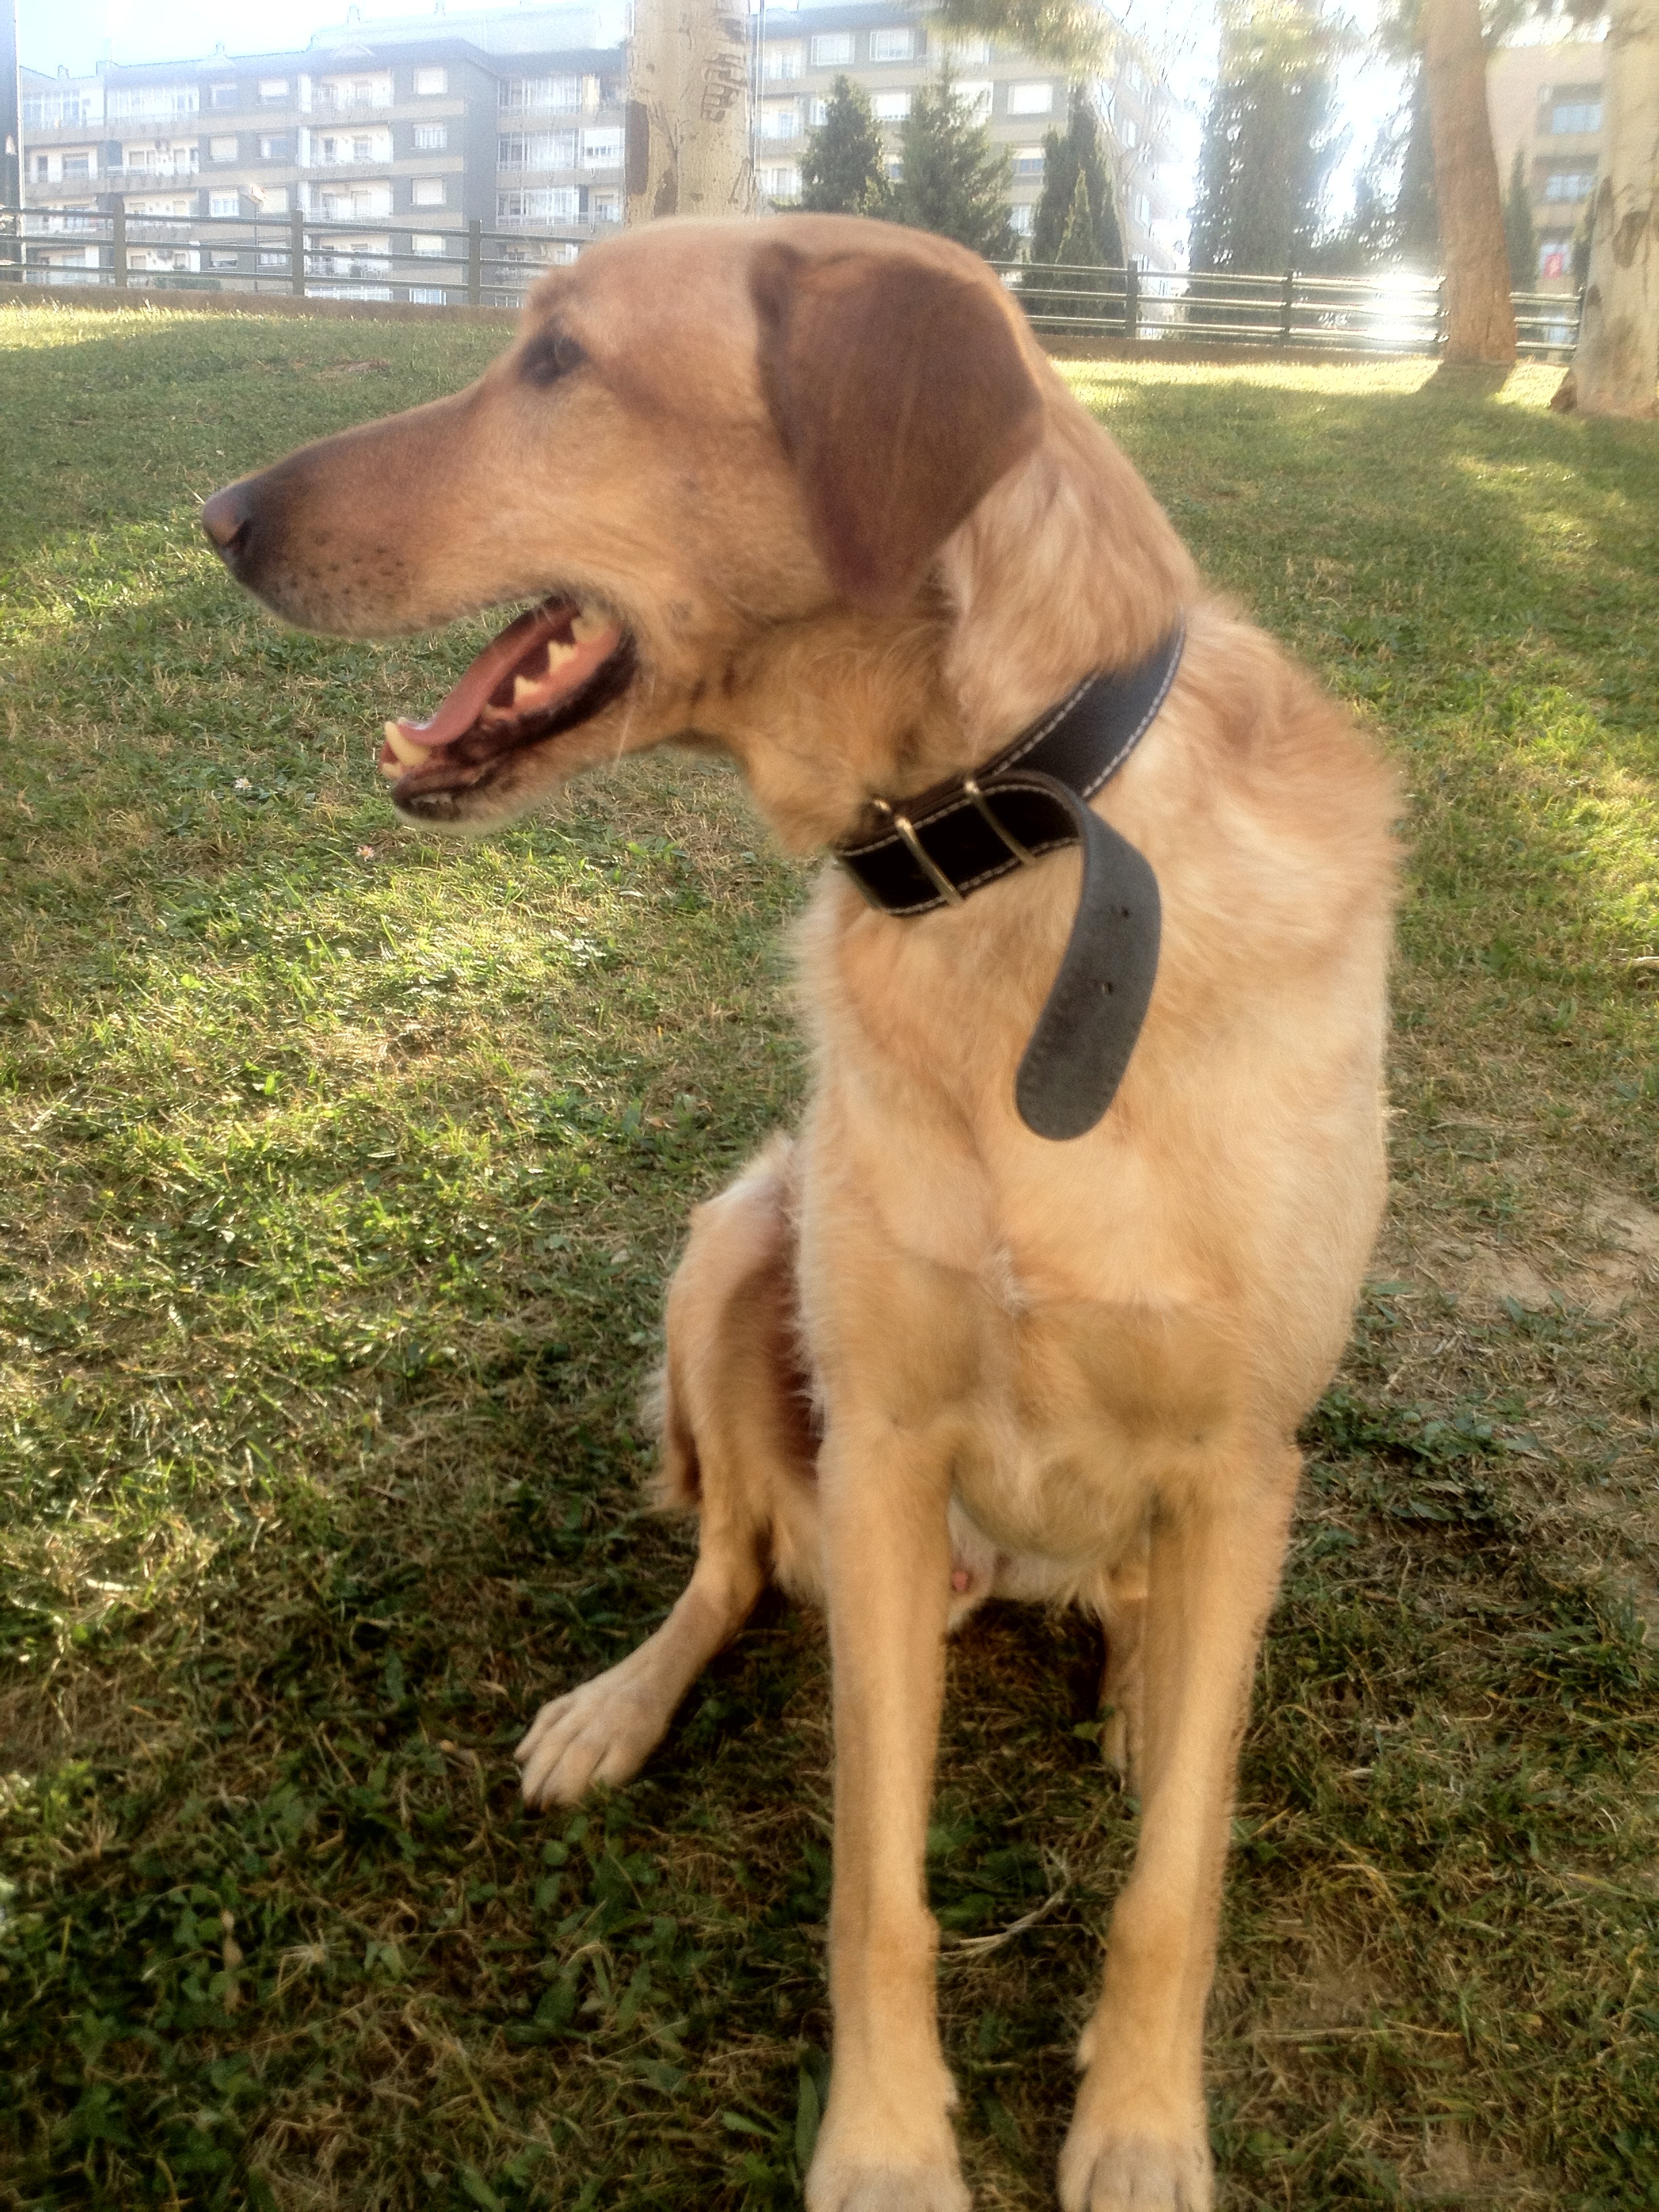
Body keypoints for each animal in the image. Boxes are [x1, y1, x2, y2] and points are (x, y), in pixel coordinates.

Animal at [203, 214, 1397, 2212]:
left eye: (558, 362)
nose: (216, 515)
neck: (1013, 864)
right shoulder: (891, 1444)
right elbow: (872, 1883)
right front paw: (891, 2143)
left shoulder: (1242, 1456)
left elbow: (1175, 1878)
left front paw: (1141, 2124)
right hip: (735, 1242)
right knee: (735, 1555)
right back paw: (617, 1701)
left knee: (1146, 1640)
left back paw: (1145, 1691)